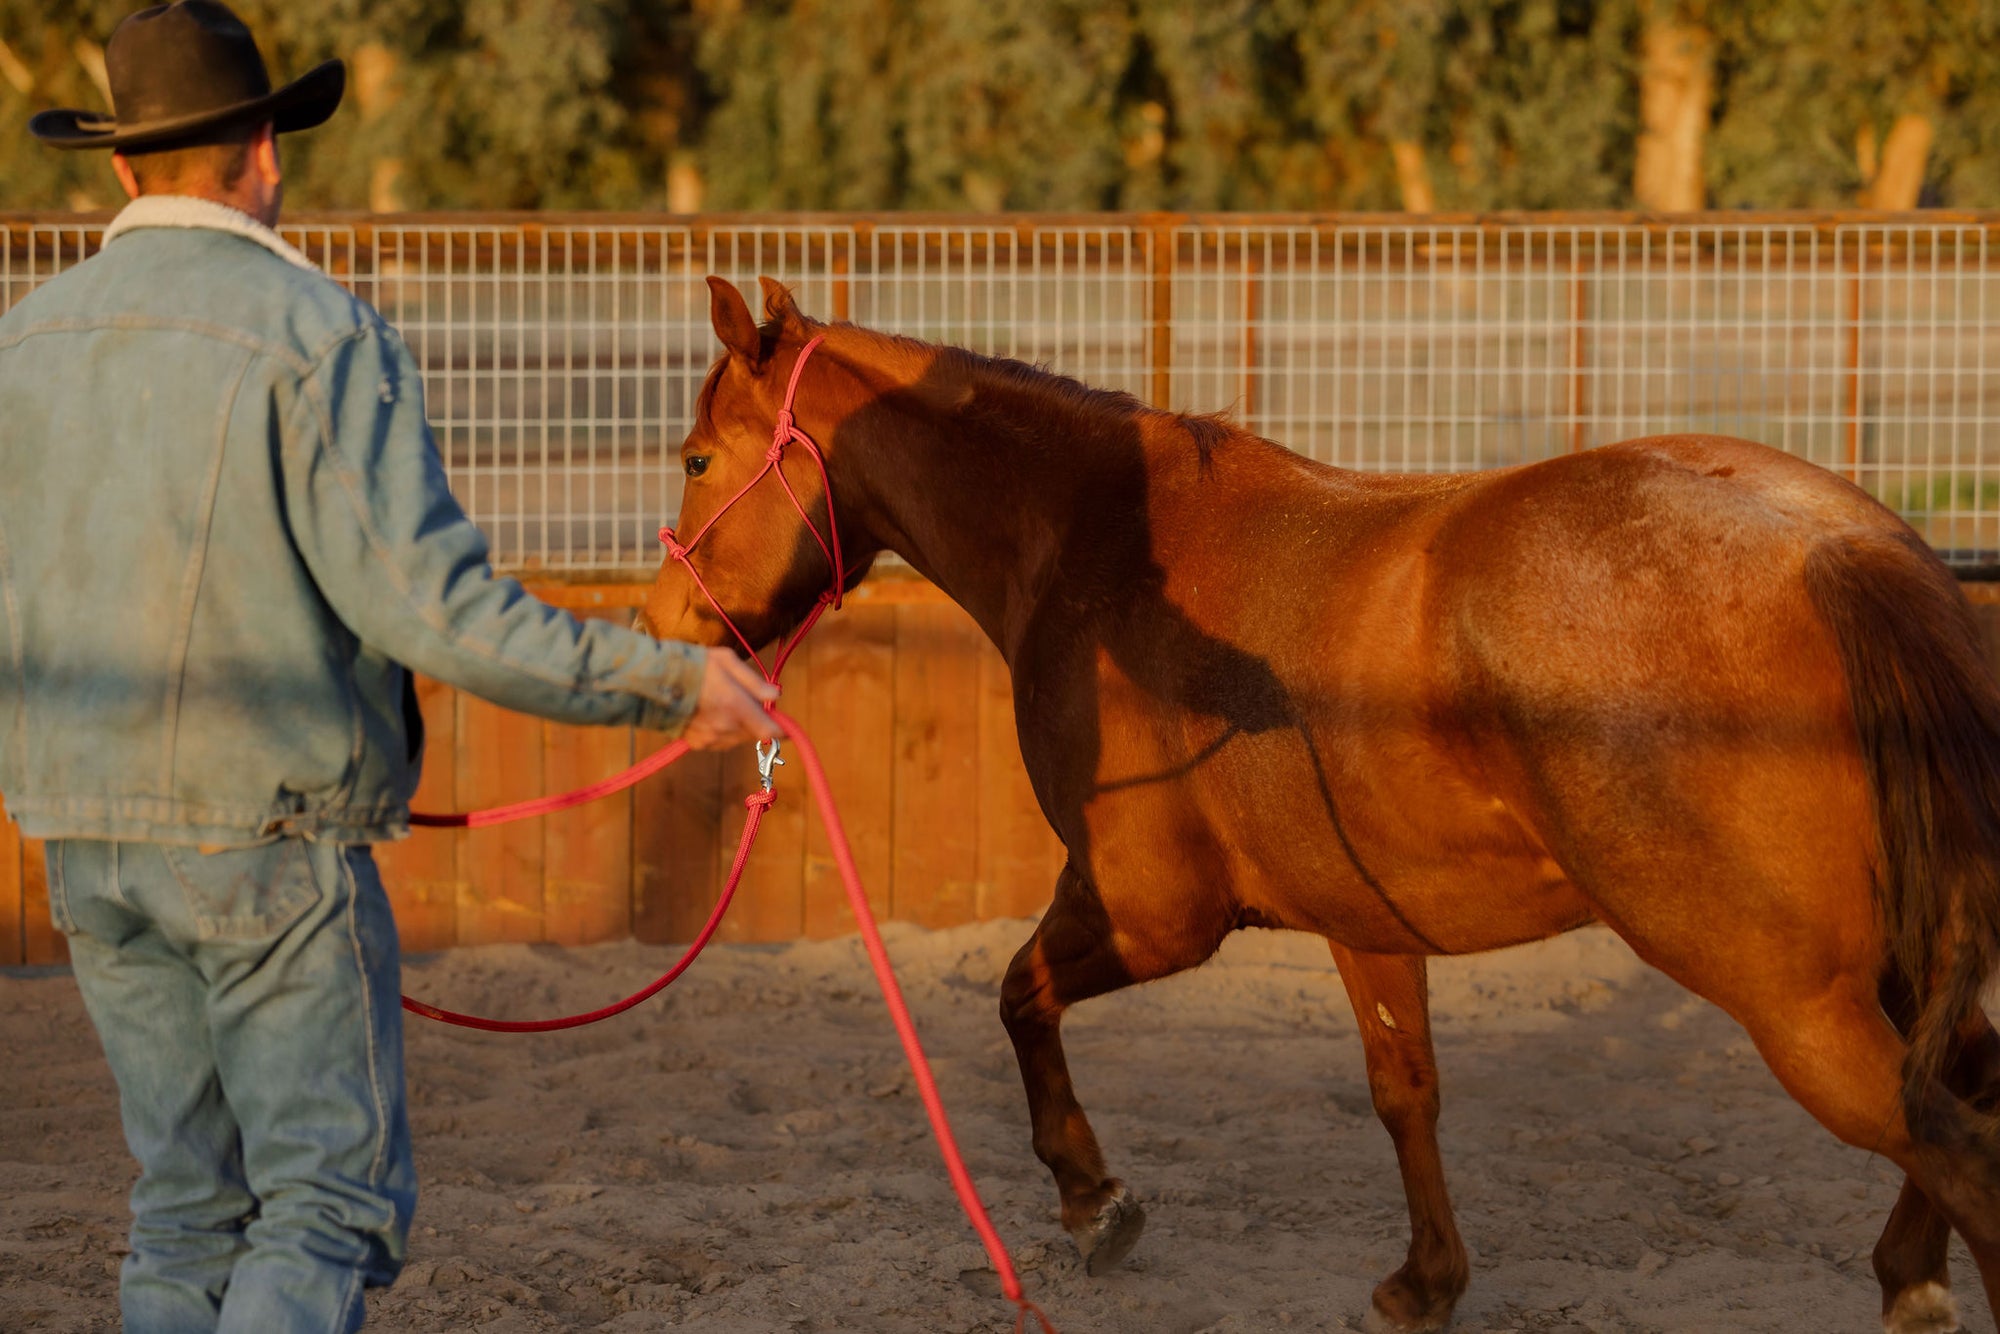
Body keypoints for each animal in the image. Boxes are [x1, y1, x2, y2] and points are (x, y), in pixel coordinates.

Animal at [640, 280, 2000, 1334]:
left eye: (699, 457)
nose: (663, 619)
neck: (1104, 550)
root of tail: (1833, 547)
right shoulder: (1365, 922)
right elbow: (1405, 1091)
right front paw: (1424, 1280)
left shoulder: (1149, 913)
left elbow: (1016, 996)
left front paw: (1091, 1201)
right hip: (1890, 969)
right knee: (1962, 1092)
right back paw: (1904, 1276)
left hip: (1790, 996)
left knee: (1958, 1146)